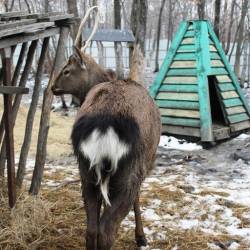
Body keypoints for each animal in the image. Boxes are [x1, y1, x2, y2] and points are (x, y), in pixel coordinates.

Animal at [51, 6, 161, 250]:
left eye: (66, 70)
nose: (52, 87)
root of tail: (103, 127)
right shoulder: (145, 165)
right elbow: (138, 199)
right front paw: (141, 237)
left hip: (85, 170)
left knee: (91, 229)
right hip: (127, 172)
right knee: (107, 230)